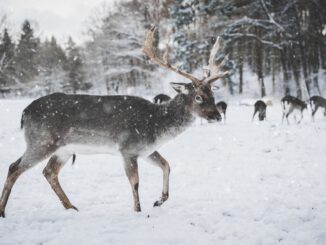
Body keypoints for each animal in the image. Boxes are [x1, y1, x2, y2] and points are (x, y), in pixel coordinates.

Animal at [0, 25, 229, 217]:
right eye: (198, 97)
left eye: (212, 94)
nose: (217, 115)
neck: (156, 126)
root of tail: (24, 113)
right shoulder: (127, 148)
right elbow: (135, 182)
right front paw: (138, 211)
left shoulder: (145, 150)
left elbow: (167, 165)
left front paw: (159, 200)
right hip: (41, 141)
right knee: (14, 167)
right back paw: (3, 211)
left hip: (63, 149)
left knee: (49, 172)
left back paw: (72, 207)